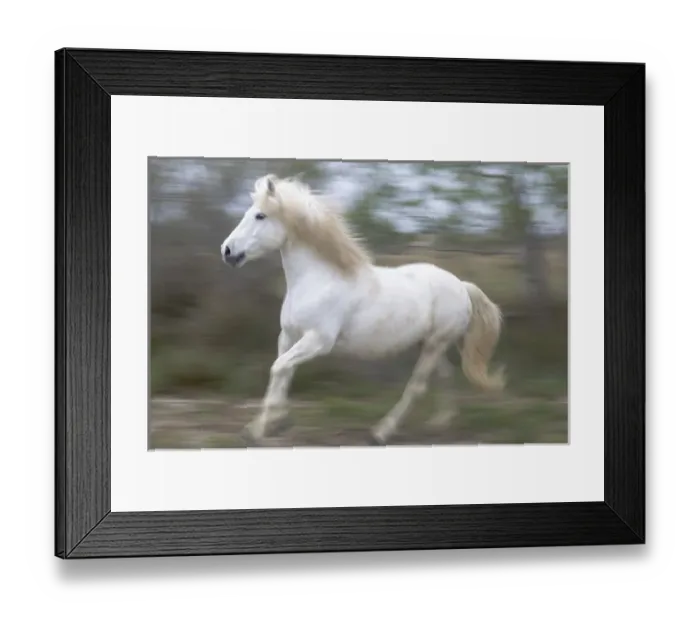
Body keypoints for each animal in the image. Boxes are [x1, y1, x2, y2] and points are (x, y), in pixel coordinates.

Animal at [220, 174, 506, 446]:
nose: (227, 251)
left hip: (436, 344)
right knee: (445, 377)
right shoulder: (289, 336)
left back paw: (380, 433)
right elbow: (282, 373)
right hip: (429, 344)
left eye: (260, 215)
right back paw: (440, 422)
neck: (318, 280)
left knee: (417, 386)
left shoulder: (317, 341)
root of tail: (461, 286)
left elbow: (278, 369)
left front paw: (265, 427)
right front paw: (267, 425)